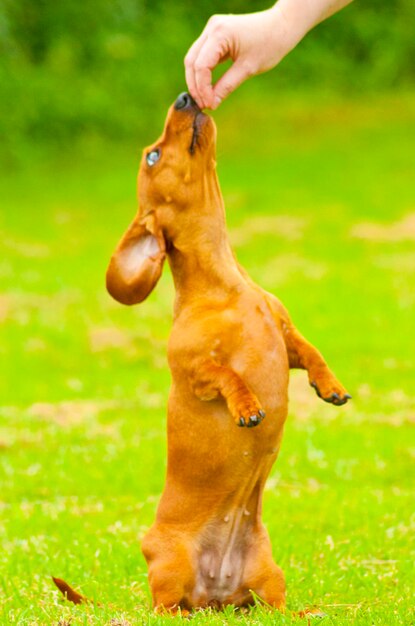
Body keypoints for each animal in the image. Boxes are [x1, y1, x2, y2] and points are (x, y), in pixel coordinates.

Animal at [105, 92, 352, 608]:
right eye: (152, 155)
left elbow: (310, 352)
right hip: (169, 562)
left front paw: (330, 386)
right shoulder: (197, 371)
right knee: (164, 606)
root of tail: (214, 594)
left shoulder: (286, 336)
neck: (226, 285)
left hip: (268, 573)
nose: (185, 95)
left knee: (273, 605)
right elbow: (227, 375)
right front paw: (247, 406)